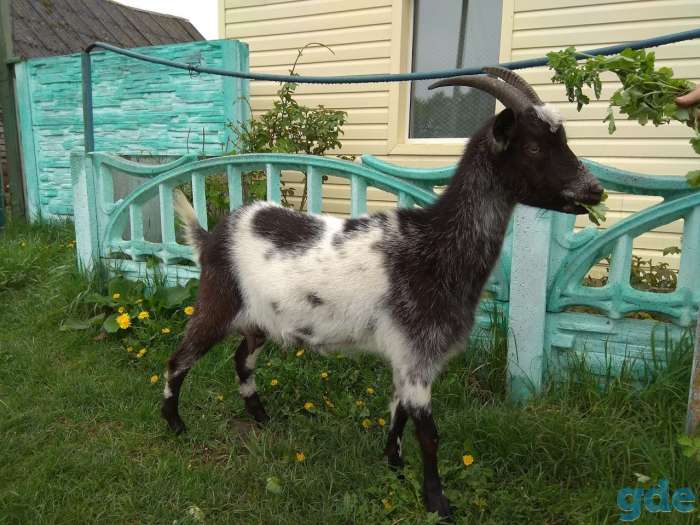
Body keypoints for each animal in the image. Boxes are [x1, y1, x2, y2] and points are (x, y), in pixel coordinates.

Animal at [161, 68, 604, 518]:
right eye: (533, 146)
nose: (595, 191)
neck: (436, 245)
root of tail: (211, 237)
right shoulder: (418, 353)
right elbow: (429, 433)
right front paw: (437, 502)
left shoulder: (407, 357)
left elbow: (398, 414)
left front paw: (394, 466)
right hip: (217, 299)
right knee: (180, 358)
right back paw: (175, 424)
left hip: (261, 320)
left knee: (242, 358)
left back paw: (260, 416)